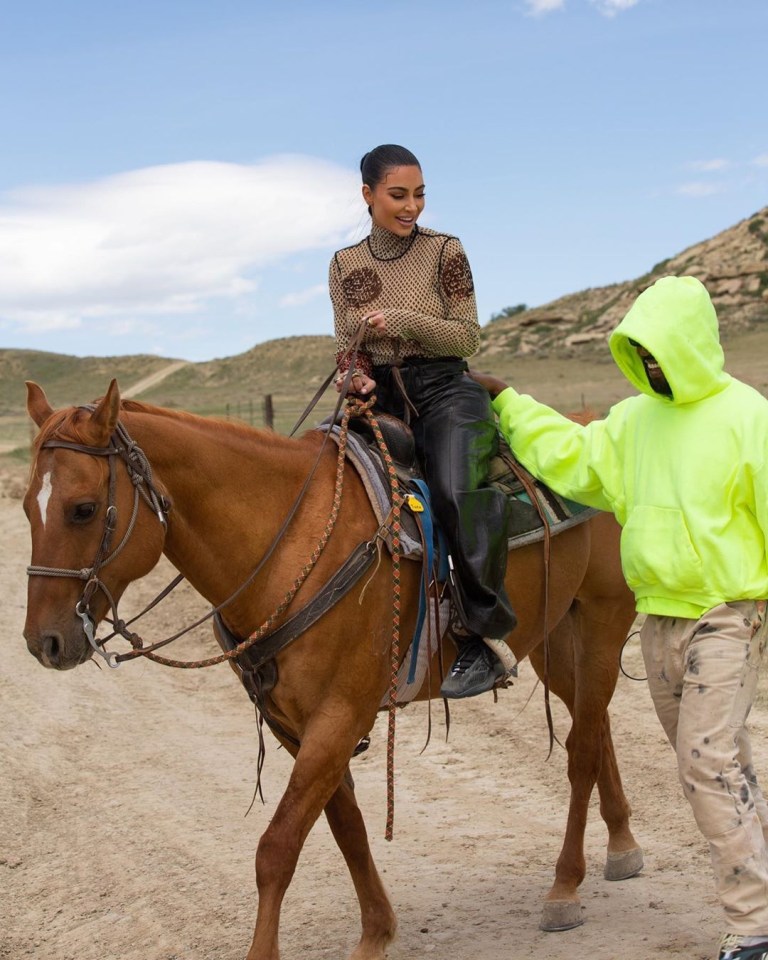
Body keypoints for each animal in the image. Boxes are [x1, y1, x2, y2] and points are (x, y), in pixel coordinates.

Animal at [22, 378, 640, 960]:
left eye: (82, 508)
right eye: (28, 506)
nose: (43, 642)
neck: (287, 542)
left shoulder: (339, 715)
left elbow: (276, 848)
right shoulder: (293, 724)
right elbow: (345, 825)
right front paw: (377, 933)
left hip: (602, 623)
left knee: (583, 747)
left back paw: (565, 887)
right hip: (552, 637)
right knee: (598, 724)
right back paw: (623, 844)